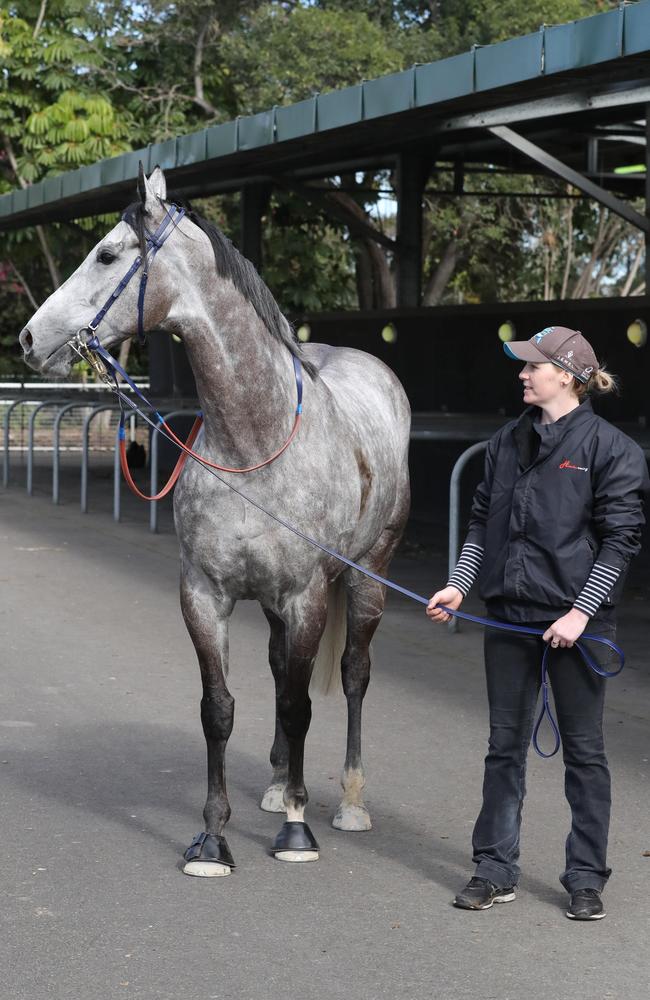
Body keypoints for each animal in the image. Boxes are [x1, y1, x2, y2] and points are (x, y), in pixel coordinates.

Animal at [20, 166, 410, 876]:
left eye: (107, 255)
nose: (30, 339)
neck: (254, 442)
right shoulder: (205, 595)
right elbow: (220, 709)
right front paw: (212, 837)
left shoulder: (307, 596)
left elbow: (299, 704)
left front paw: (295, 830)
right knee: (281, 668)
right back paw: (280, 784)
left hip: (369, 576)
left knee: (351, 675)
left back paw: (347, 801)